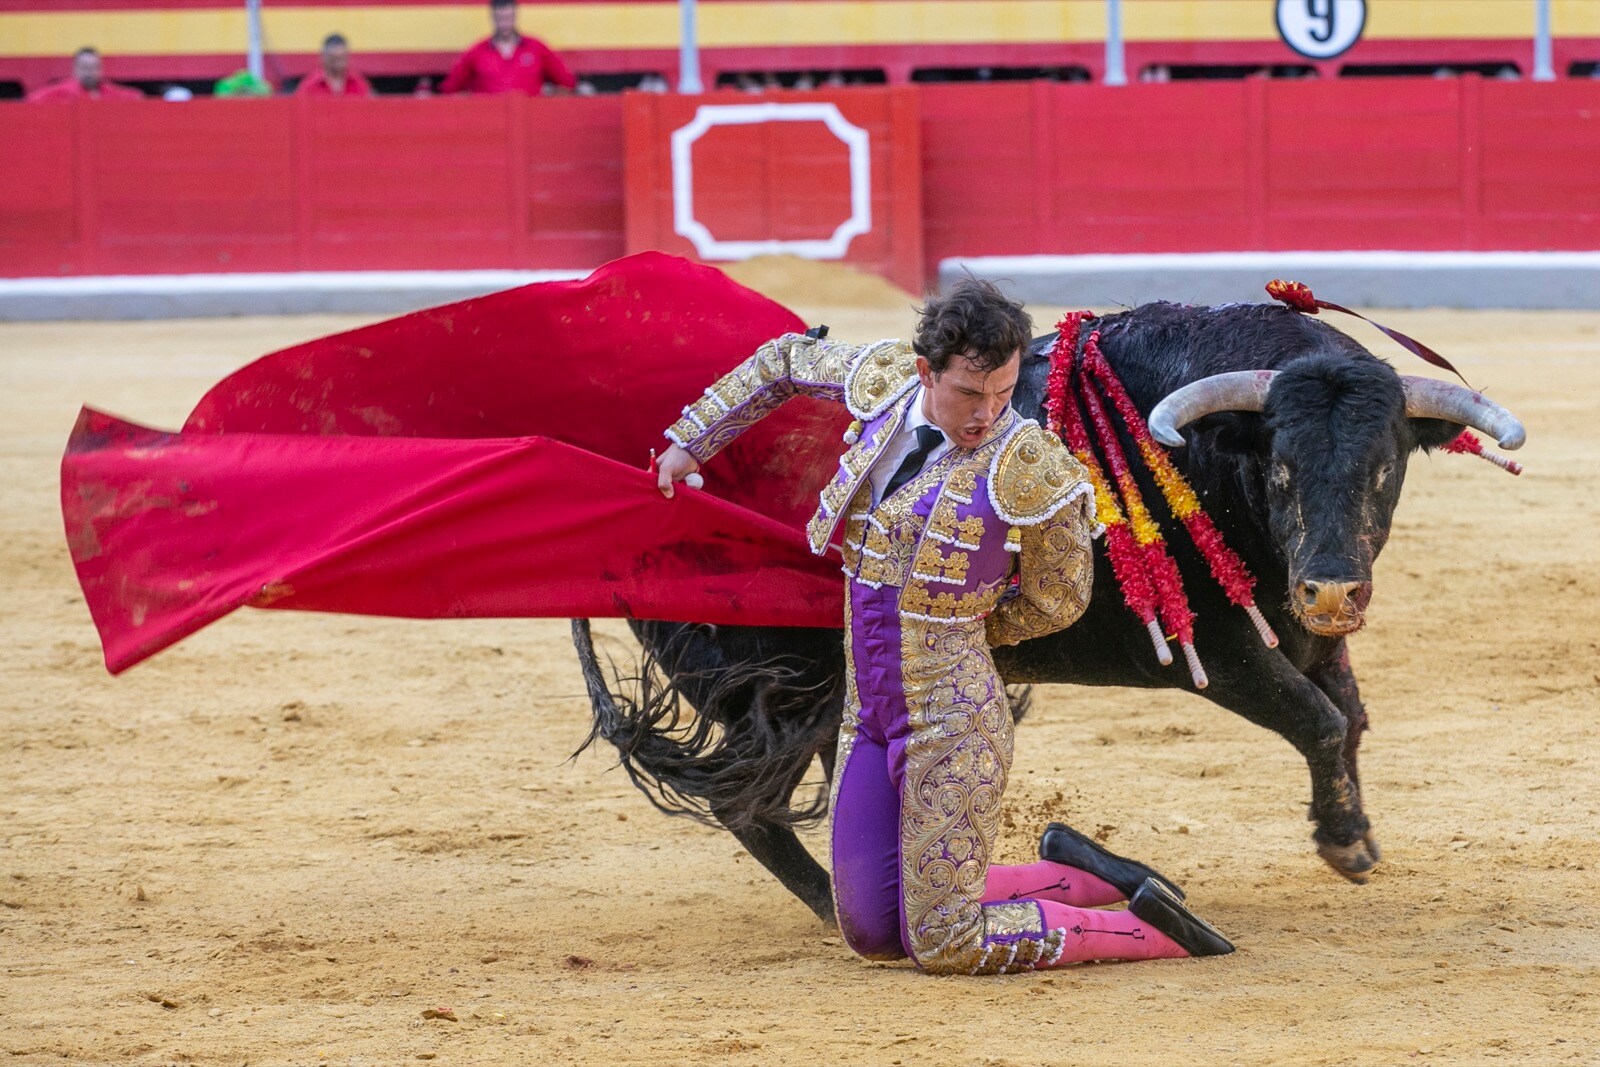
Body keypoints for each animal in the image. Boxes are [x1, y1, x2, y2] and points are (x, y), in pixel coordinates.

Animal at [569, 302, 1516, 927]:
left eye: (1386, 467)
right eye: (1281, 466)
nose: (1330, 591)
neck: (1214, 460)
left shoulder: (1299, 634)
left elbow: (1347, 716)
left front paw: (1350, 829)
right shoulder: (1215, 648)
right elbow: (1317, 717)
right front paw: (1345, 843)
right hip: (787, 687)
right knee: (750, 805)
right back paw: (845, 911)